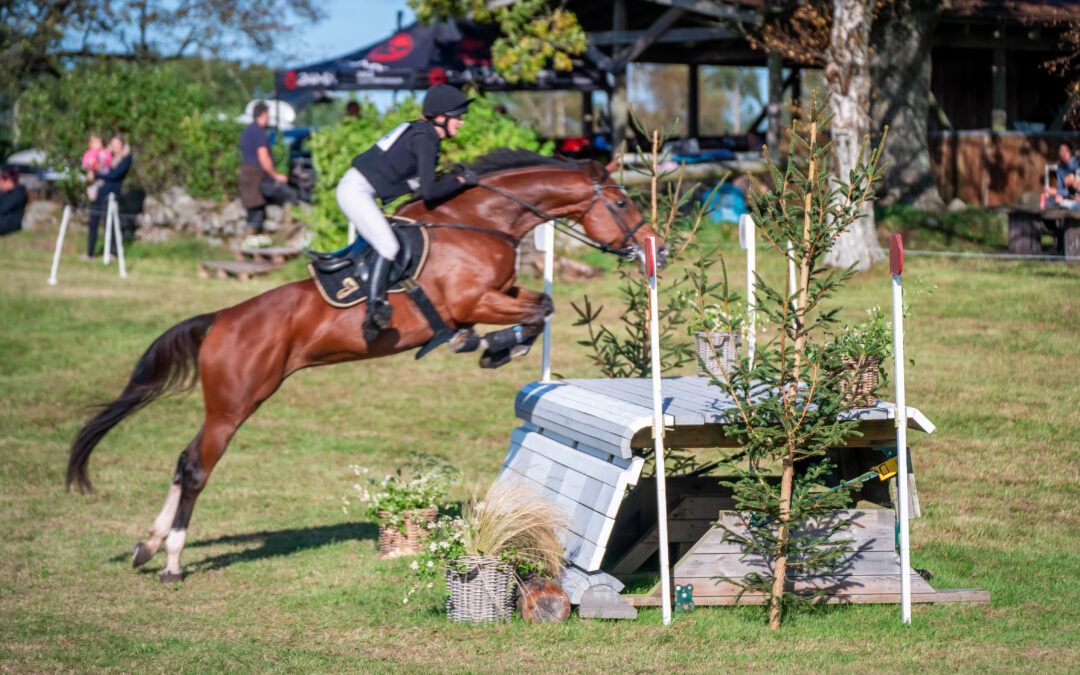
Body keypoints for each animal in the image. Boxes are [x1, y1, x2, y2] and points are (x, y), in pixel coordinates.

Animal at [65, 150, 665, 583]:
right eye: (621, 202)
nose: (649, 248)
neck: (480, 222)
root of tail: (220, 320)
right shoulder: (474, 300)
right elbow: (540, 309)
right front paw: (491, 346)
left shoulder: (500, 293)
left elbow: (541, 305)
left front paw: (496, 347)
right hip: (235, 403)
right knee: (195, 467)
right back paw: (170, 561)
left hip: (232, 403)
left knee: (182, 460)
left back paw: (146, 547)